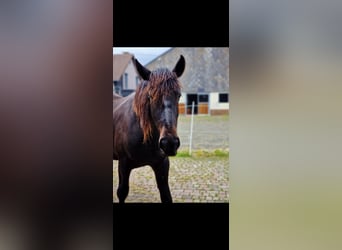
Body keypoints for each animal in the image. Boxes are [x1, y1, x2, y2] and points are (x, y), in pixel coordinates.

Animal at [113, 55, 186, 203]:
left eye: (178, 95)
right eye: (150, 96)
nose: (169, 143)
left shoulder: (162, 165)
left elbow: (166, 195)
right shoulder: (123, 164)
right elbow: (122, 192)